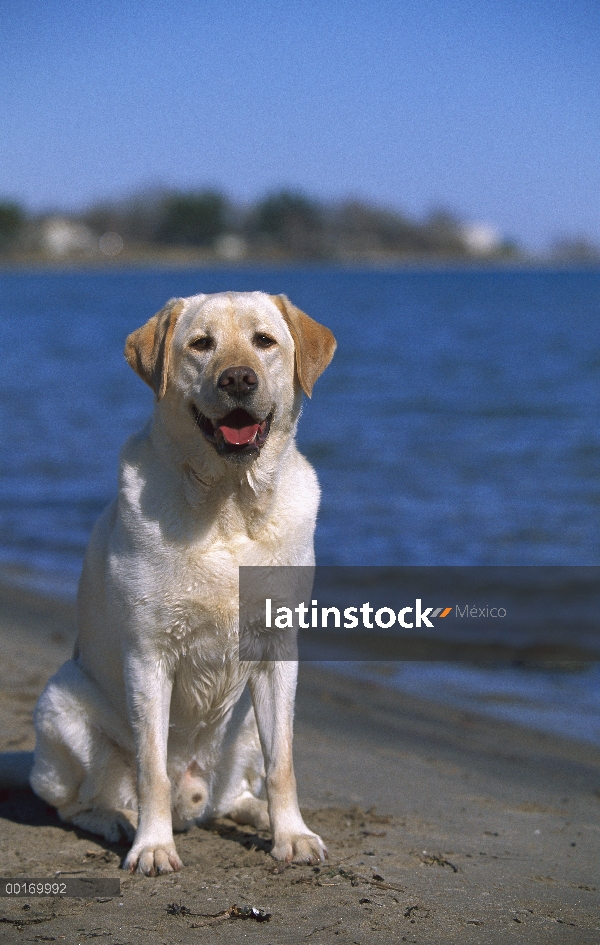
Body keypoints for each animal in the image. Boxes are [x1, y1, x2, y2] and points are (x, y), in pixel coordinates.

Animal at [30, 292, 336, 872]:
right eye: (201, 344)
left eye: (265, 341)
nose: (238, 378)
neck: (229, 507)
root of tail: (192, 798)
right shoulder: (149, 655)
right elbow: (150, 766)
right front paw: (153, 846)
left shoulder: (277, 652)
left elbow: (282, 762)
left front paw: (292, 834)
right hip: (61, 708)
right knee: (78, 801)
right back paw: (116, 821)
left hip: (242, 729)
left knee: (237, 791)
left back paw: (254, 812)